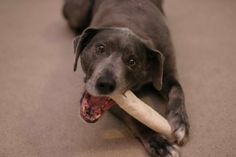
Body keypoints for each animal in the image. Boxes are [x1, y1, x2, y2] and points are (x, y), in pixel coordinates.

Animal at [62, 0, 190, 156]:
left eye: (132, 61)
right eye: (100, 48)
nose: (105, 83)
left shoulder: (168, 73)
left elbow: (177, 90)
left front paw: (180, 121)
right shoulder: (121, 101)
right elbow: (135, 118)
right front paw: (158, 142)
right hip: (78, 11)